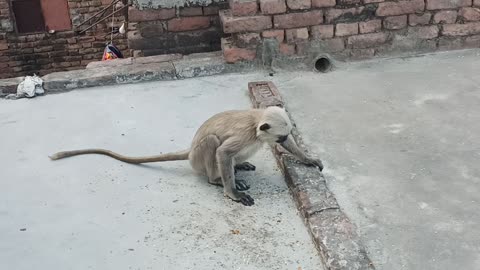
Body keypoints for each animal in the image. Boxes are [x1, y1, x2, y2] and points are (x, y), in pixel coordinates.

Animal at [49, 106, 322, 206]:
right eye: (281, 138)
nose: (283, 140)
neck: (255, 123)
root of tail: (190, 152)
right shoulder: (244, 135)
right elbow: (222, 150)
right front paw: (232, 193)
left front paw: (308, 160)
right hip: (201, 156)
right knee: (213, 143)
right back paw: (218, 180)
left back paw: (239, 167)